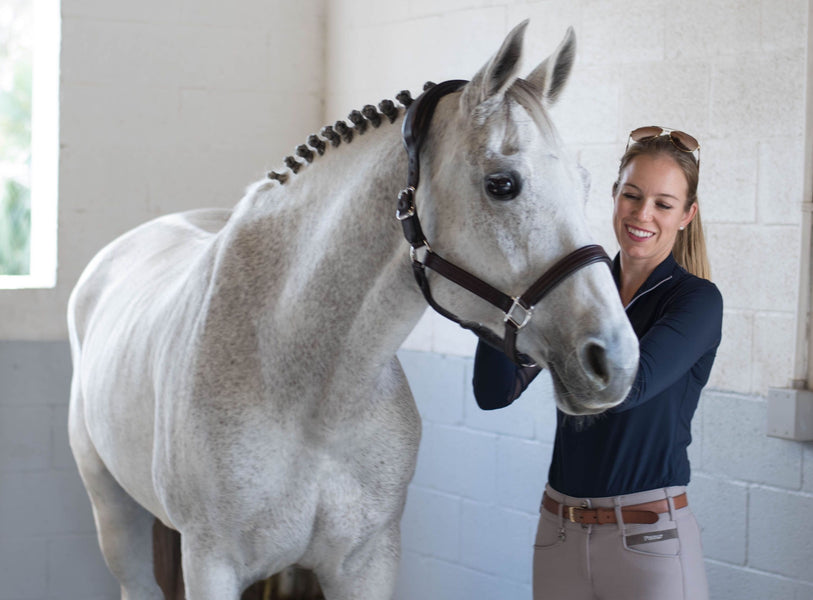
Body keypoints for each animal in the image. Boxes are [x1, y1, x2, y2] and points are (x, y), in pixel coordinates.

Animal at [68, 23, 640, 600]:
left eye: (586, 184)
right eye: (502, 184)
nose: (615, 360)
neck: (306, 392)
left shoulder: (368, 561)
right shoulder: (211, 563)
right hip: (114, 515)